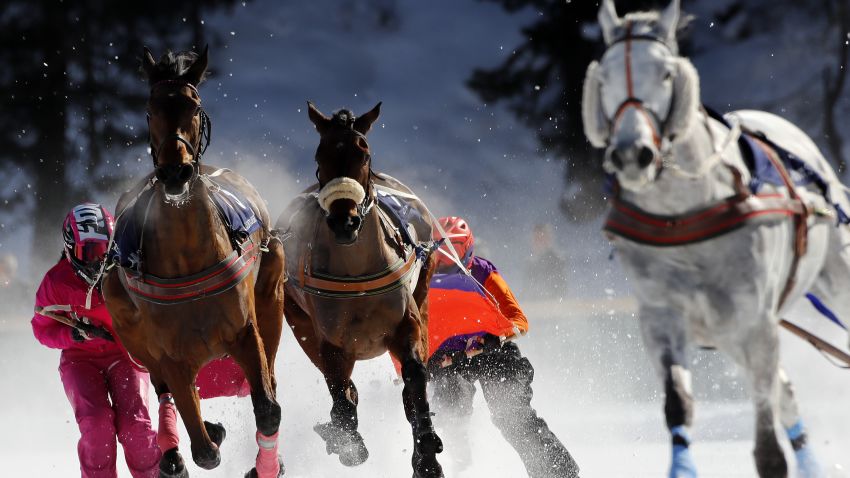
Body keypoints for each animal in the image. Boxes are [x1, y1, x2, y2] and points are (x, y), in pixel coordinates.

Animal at [102, 47, 284, 478]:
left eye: (194, 106)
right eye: (150, 109)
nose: (175, 171)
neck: (188, 259)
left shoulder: (244, 330)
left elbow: (267, 409)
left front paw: (265, 466)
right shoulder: (169, 355)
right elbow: (203, 449)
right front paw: (202, 437)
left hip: (271, 295)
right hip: (131, 332)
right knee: (165, 392)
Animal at [274, 102, 444, 476]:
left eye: (363, 152)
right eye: (320, 155)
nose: (345, 221)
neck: (359, 278)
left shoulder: (406, 322)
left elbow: (415, 374)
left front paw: (426, 454)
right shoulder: (329, 341)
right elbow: (339, 391)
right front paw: (347, 440)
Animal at [580, 0, 848, 478]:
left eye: (666, 74)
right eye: (604, 78)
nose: (632, 154)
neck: (683, 216)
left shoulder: (755, 320)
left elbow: (767, 445)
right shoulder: (663, 316)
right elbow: (678, 404)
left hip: (830, 275)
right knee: (786, 394)